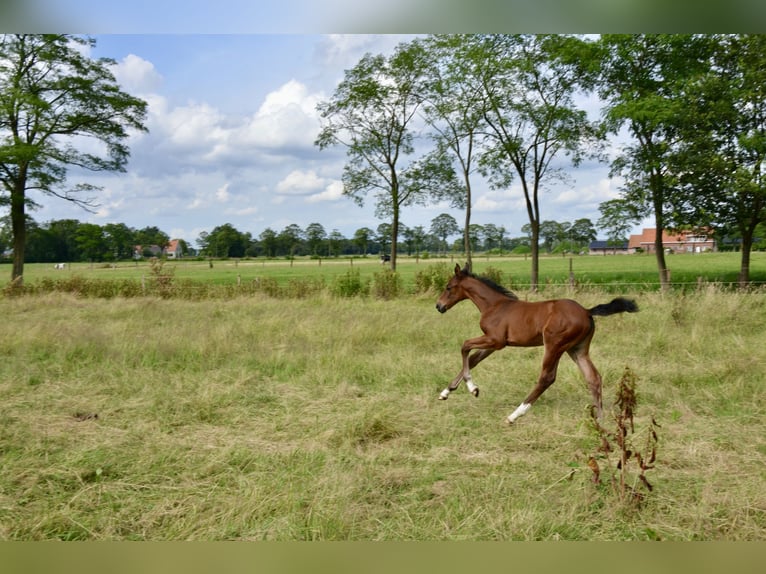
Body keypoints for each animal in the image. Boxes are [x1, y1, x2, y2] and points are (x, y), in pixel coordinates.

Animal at [436, 264, 640, 424]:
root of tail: (587, 312)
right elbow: (472, 360)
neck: (494, 305)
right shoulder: (493, 344)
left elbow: (465, 346)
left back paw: (514, 415)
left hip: (554, 345)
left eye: (448, 287)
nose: (439, 306)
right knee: (593, 377)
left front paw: (473, 389)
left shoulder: (496, 340)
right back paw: (600, 420)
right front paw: (446, 392)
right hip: (577, 349)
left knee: (547, 377)